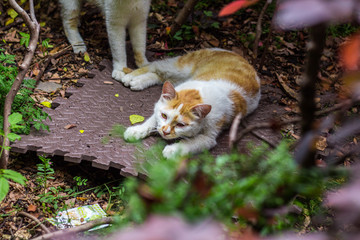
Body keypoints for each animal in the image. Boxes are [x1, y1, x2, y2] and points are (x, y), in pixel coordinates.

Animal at [122, 47, 260, 158]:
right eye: (164, 116)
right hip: (181, 67)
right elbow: (152, 120)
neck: (198, 95)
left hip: (179, 77)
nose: (165, 131)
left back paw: (138, 81)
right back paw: (129, 76)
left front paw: (173, 150)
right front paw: (137, 130)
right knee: (155, 66)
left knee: (160, 76)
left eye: (181, 125)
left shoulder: (209, 137)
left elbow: (191, 143)